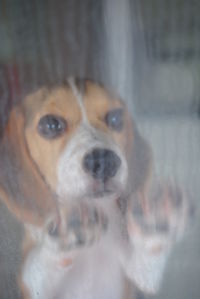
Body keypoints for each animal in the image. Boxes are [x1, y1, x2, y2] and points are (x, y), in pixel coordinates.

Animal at [0, 78, 191, 299]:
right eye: (51, 124)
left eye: (116, 118)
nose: (105, 162)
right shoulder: (31, 287)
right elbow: (38, 265)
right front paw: (71, 227)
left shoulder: (142, 278)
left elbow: (148, 256)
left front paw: (158, 214)